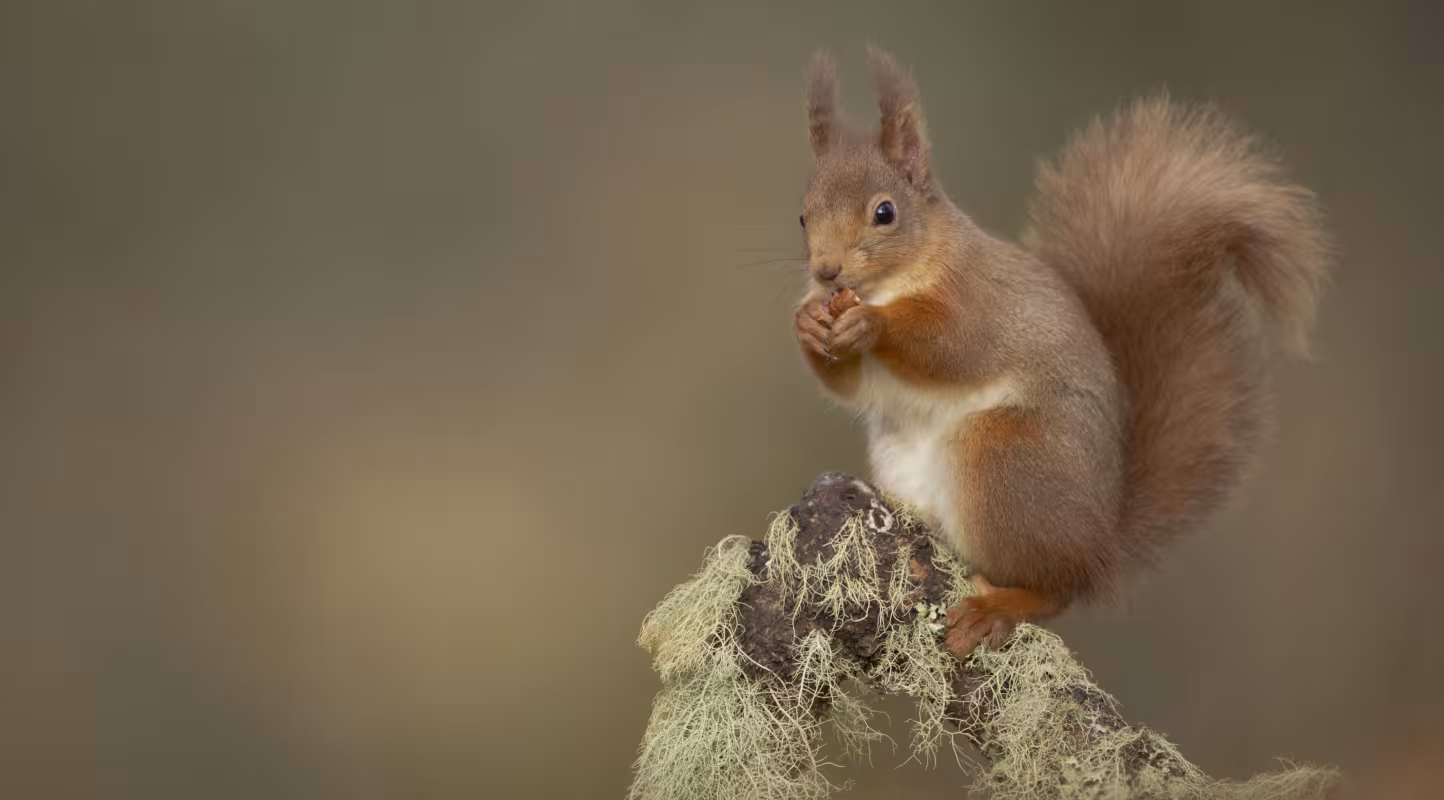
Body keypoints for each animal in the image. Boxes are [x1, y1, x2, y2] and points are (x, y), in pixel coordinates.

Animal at [791, 46, 1330, 658]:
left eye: (885, 213)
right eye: (803, 215)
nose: (826, 272)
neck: (892, 283)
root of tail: (1102, 548)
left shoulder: (980, 302)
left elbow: (953, 346)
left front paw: (871, 323)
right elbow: (851, 386)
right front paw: (808, 322)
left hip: (1004, 456)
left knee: (1056, 590)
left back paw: (998, 608)